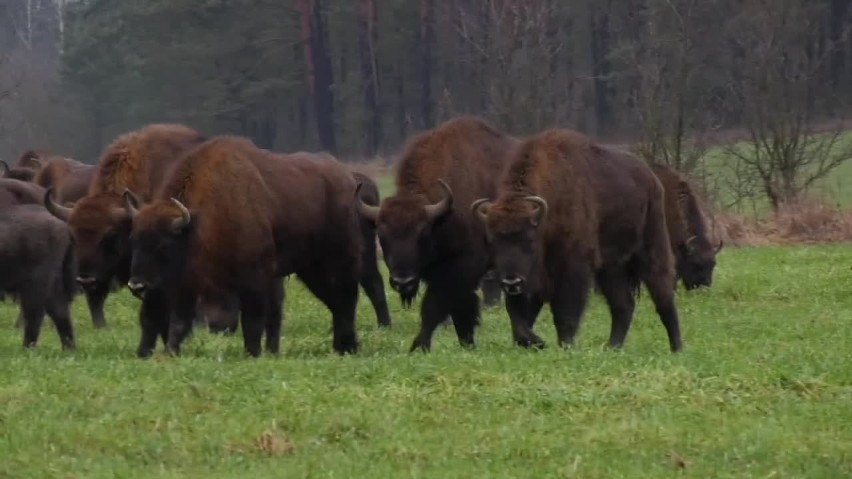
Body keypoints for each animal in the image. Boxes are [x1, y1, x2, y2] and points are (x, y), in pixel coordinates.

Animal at [125, 134, 362, 356]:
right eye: (133, 241)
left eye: (164, 245)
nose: (137, 286)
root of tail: (346, 179)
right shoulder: (185, 286)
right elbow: (178, 323)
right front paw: (168, 353)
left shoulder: (254, 278)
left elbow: (252, 321)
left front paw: (252, 353)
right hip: (310, 268)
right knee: (335, 302)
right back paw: (344, 346)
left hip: (338, 261)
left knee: (346, 298)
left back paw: (346, 347)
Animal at [354, 116, 516, 352]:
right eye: (382, 235)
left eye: (422, 232)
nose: (403, 281)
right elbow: (458, 312)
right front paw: (466, 343)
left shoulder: (461, 269)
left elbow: (435, 308)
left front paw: (419, 346)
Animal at [476, 129, 684, 354]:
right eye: (492, 240)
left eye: (529, 239)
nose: (511, 281)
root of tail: (652, 179)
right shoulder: (531, 280)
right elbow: (518, 315)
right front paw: (533, 342)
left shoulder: (573, 268)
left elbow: (565, 312)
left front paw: (564, 345)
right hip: (611, 267)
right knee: (623, 304)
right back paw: (612, 347)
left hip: (651, 246)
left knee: (663, 294)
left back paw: (676, 348)